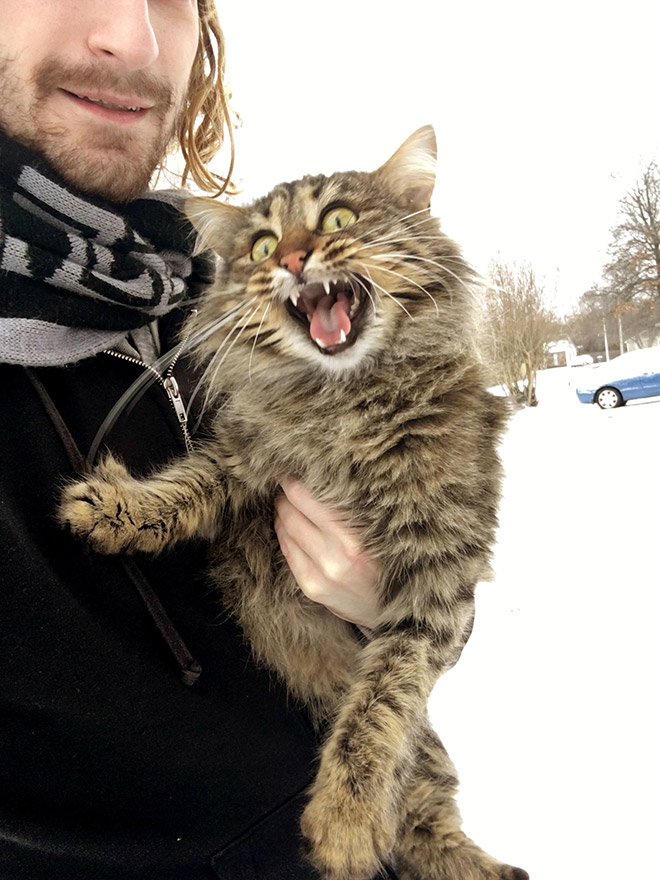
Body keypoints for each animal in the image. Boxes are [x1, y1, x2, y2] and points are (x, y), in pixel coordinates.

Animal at [59, 125, 528, 880]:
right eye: (260, 248)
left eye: (336, 219)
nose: (292, 258)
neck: (345, 404)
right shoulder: (245, 461)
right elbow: (183, 486)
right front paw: (114, 510)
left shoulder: (437, 579)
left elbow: (380, 702)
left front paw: (344, 817)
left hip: (426, 759)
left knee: (427, 814)